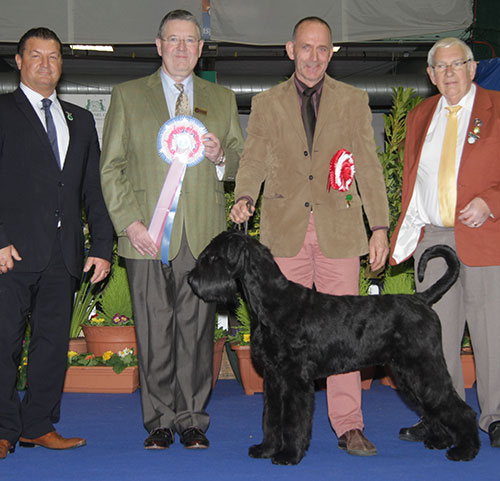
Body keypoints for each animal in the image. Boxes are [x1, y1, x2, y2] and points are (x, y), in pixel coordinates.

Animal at [188, 231, 480, 464]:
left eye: (212, 258)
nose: (191, 280)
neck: (273, 302)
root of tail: (422, 299)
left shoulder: (295, 379)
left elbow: (292, 420)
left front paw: (288, 455)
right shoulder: (273, 378)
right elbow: (270, 417)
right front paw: (266, 449)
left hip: (423, 368)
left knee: (460, 408)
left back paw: (465, 450)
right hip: (408, 374)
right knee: (434, 406)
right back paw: (440, 441)